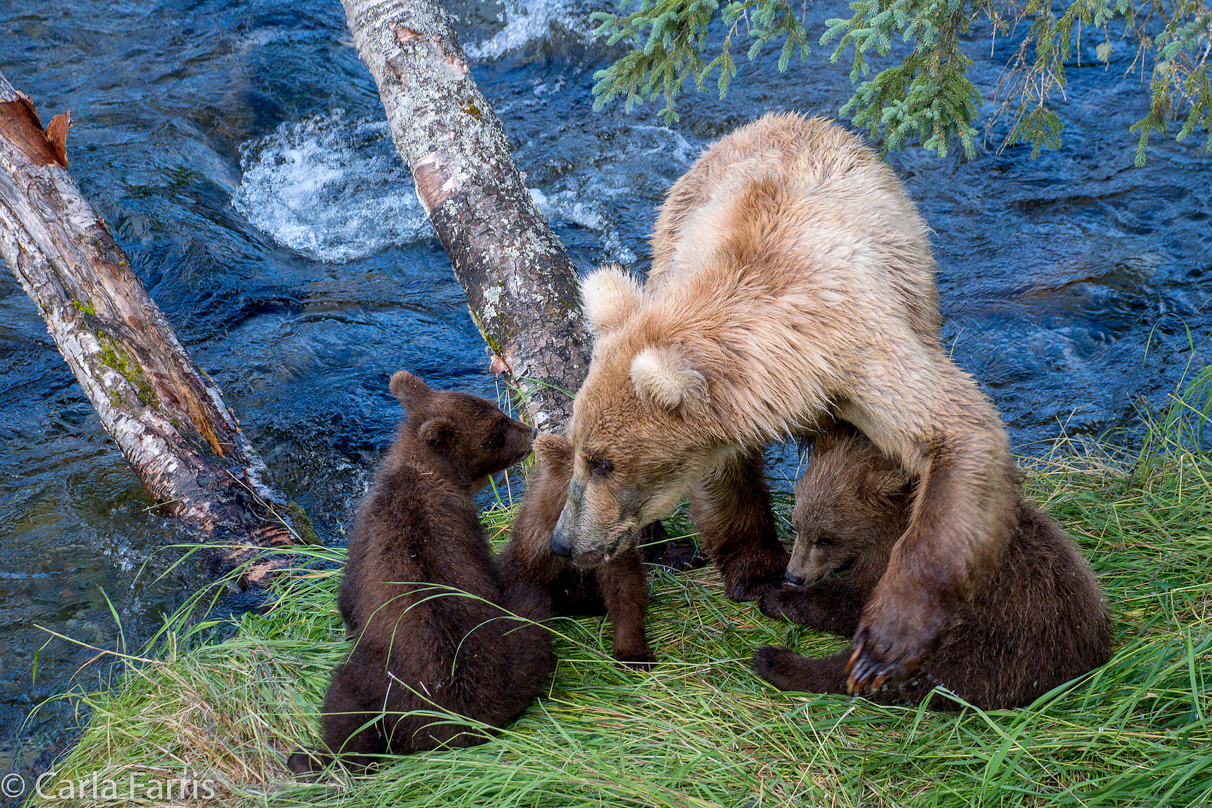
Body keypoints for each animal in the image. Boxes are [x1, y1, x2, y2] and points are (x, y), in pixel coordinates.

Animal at [552, 113, 1022, 692]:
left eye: (602, 462)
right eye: (579, 447)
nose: (563, 542)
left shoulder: (864, 347)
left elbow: (953, 431)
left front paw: (885, 643)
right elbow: (725, 476)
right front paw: (756, 570)